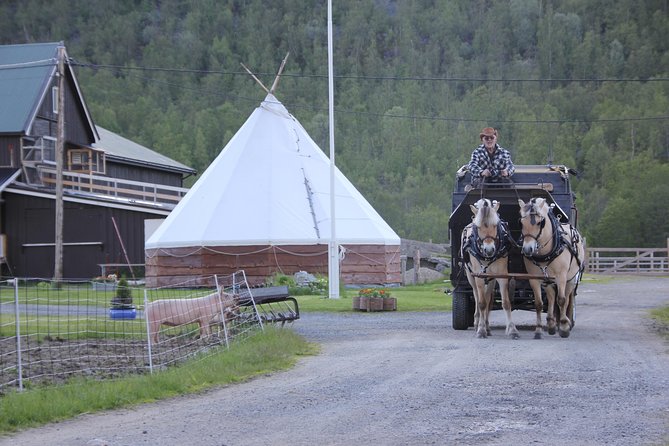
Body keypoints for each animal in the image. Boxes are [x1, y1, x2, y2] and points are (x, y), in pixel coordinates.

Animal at [460, 198, 516, 338]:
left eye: (495, 225)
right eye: (478, 227)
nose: (489, 250)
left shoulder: (501, 275)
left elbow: (505, 302)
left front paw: (512, 330)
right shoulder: (479, 276)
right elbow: (481, 303)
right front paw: (481, 329)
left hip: (491, 278)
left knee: (487, 296)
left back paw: (487, 325)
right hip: (470, 276)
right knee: (476, 295)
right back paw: (477, 322)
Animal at [516, 199, 584, 338]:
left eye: (540, 222)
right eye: (521, 222)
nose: (528, 249)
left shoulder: (561, 277)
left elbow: (562, 300)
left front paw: (564, 327)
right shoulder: (534, 279)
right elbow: (538, 303)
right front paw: (538, 331)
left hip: (570, 279)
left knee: (567, 298)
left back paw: (565, 322)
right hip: (548, 281)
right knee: (552, 298)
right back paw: (551, 323)